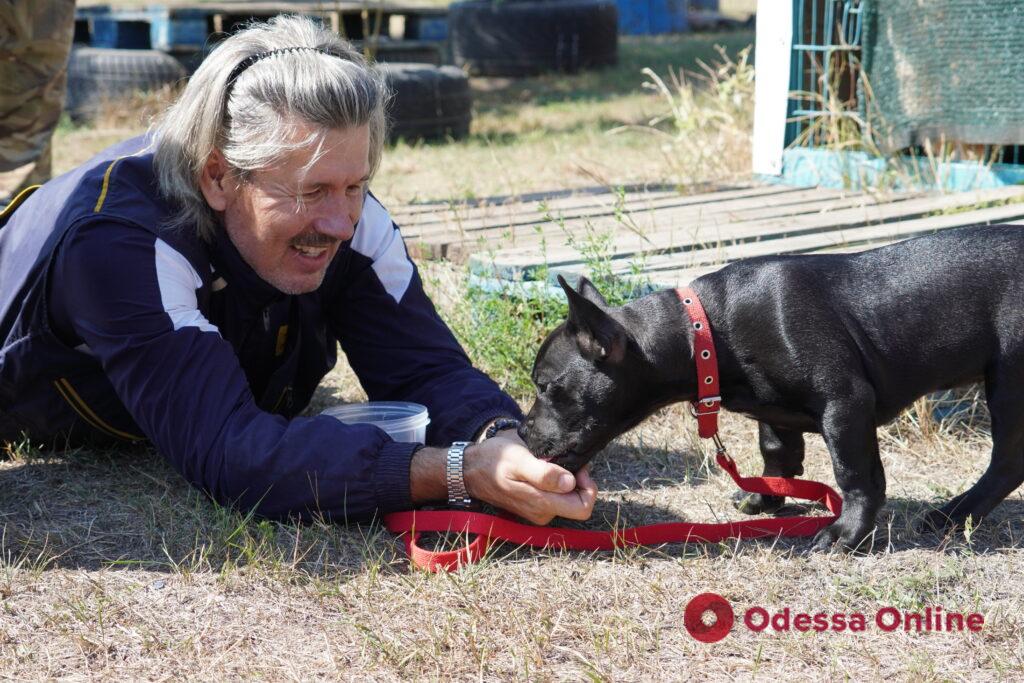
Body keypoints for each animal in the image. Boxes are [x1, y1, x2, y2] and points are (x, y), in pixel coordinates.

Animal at [520, 224, 1024, 548]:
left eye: (544, 386)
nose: (522, 431)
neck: (702, 333)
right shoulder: (774, 412)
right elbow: (777, 454)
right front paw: (764, 496)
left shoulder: (845, 406)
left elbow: (856, 474)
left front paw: (847, 532)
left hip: (1008, 382)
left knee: (1006, 464)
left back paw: (953, 515)